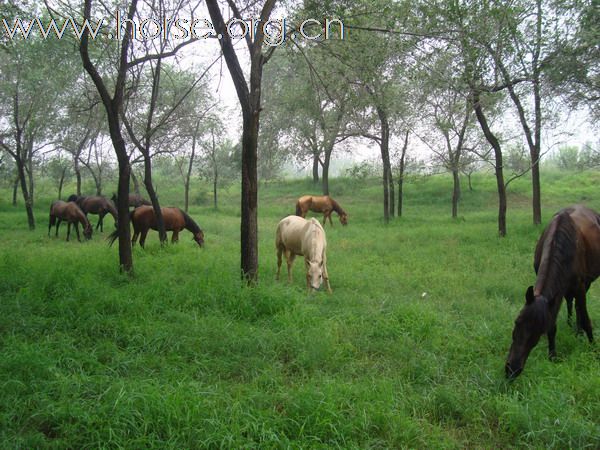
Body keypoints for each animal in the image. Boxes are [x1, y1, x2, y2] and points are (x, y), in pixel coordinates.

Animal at [506, 206, 600, 378]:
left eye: (538, 332)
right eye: (517, 322)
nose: (512, 370)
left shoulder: (580, 286)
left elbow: (586, 318)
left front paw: (593, 347)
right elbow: (553, 323)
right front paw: (552, 355)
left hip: (587, 282)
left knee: (578, 307)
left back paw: (578, 331)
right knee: (570, 301)